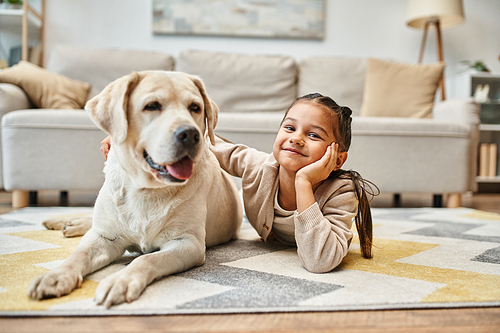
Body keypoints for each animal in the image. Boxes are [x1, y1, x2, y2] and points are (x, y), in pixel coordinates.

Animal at [27, 71, 242, 308]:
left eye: (195, 107)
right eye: (152, 106)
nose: (190, 134)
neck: (147, 189)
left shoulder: (188, 243)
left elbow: (147, 258)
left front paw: (120, 280)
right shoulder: (104, 238)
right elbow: (79, 255)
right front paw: (56, 275)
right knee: (90, 221)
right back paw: (65, 221)